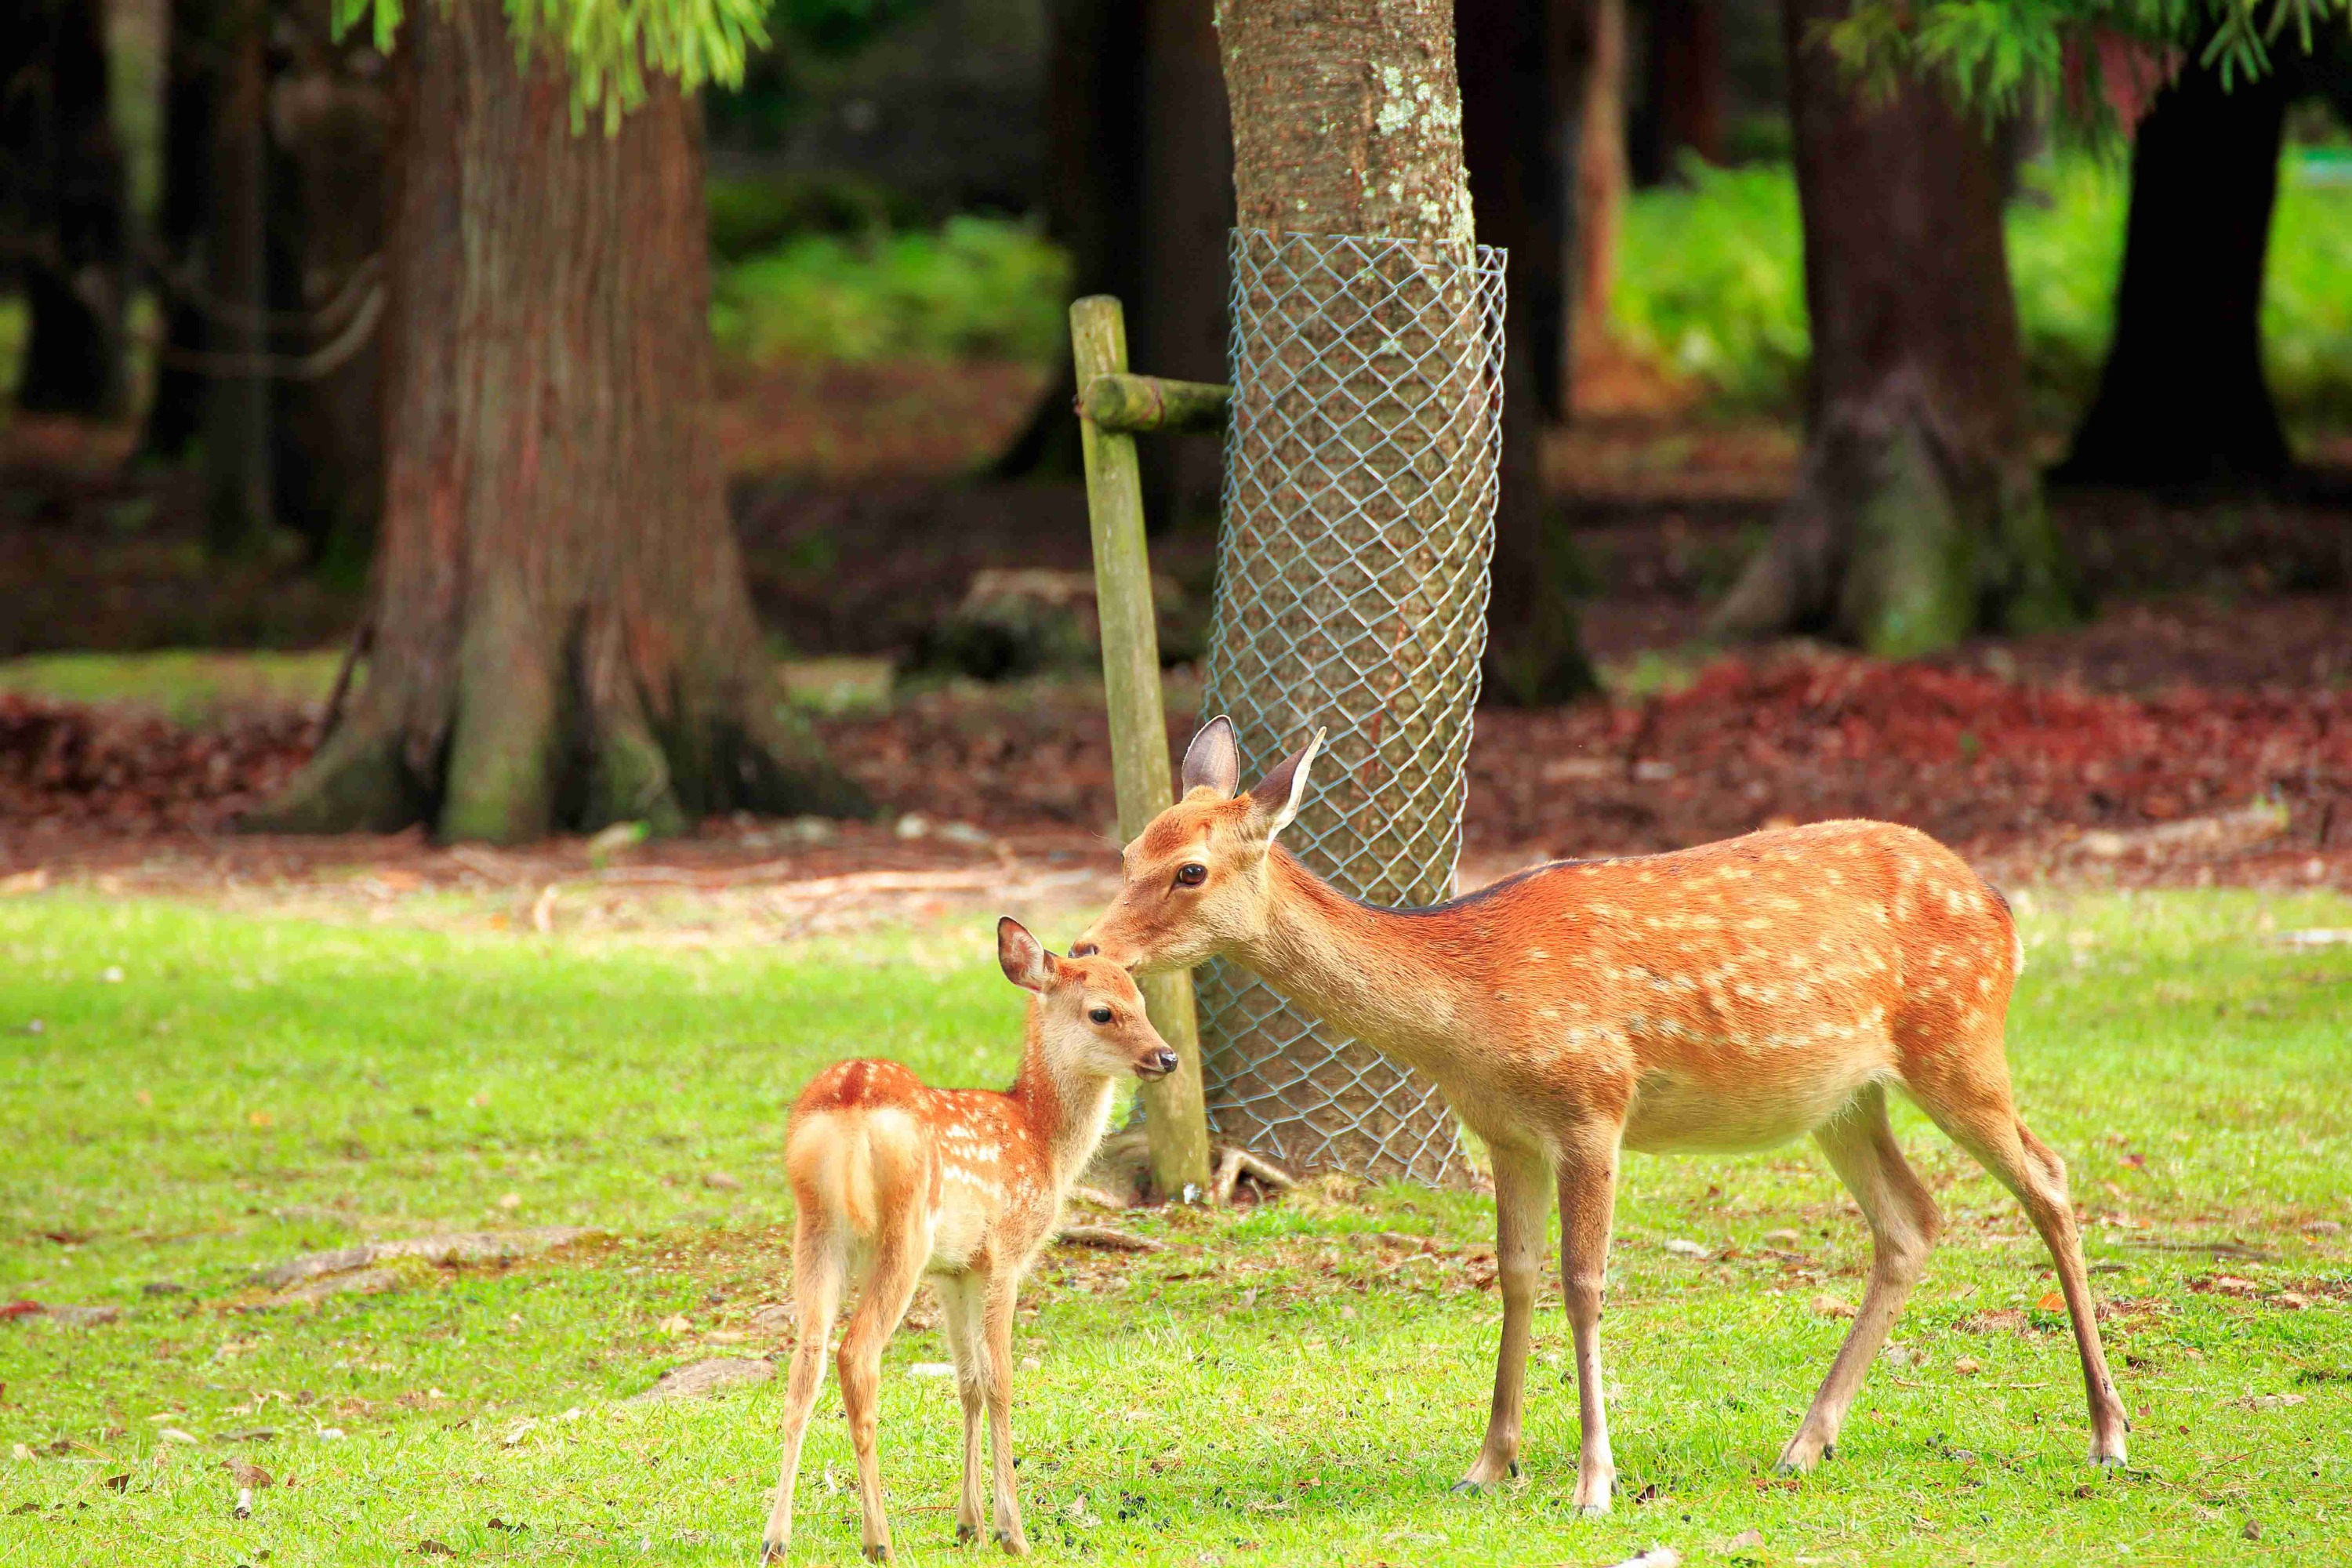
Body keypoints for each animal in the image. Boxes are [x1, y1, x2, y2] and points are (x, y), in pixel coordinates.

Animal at [767, 921, 1176, 1561]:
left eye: (1142, 999)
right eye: (1103, 1012)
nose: (1166, 1056)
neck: (1041, 1140)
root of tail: (852, 1103)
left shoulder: (955, 1269)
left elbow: (969, 1384)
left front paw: (970, 1524)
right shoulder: (1005, 1252)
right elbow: (1002, 1380)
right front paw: (1012, 1532)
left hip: (816, 1227)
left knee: (804, 1361)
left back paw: (776, 1540)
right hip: (905, 1229)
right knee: (857, 1354)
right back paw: (878, 1541)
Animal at [1082, 719, 2136, 1504]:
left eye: (1191, 870)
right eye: (1130, 847)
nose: (1088, 945)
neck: (1469, 1006)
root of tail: (2003, 908)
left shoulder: (1594, 1105)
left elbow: (1584, 1280)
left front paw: (1594, 1479)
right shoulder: (1504, 1131)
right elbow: (1513, 1275)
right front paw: (1488, 1462)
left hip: (1959, 1039)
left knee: (2048, 1178)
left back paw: (2108, 1432)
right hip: (1844, 1096)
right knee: (1912, 1217)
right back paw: (1807, 1441)